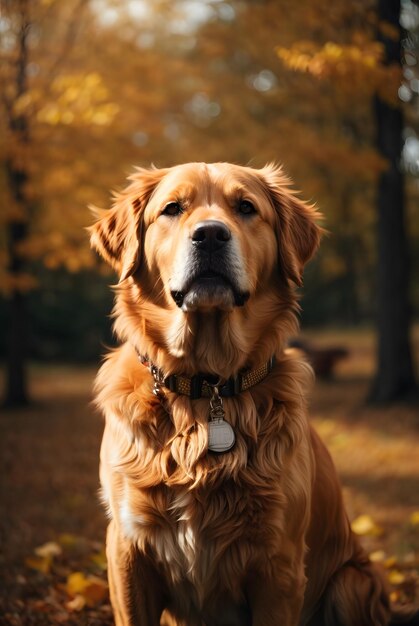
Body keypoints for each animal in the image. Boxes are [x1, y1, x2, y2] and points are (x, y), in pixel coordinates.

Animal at [90, 163, 418, 624]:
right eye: (172, 208)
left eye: (246, 208)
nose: (210, 235)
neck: (207, 388)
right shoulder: (127, 552)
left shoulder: (278, 565)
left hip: (351, 582)